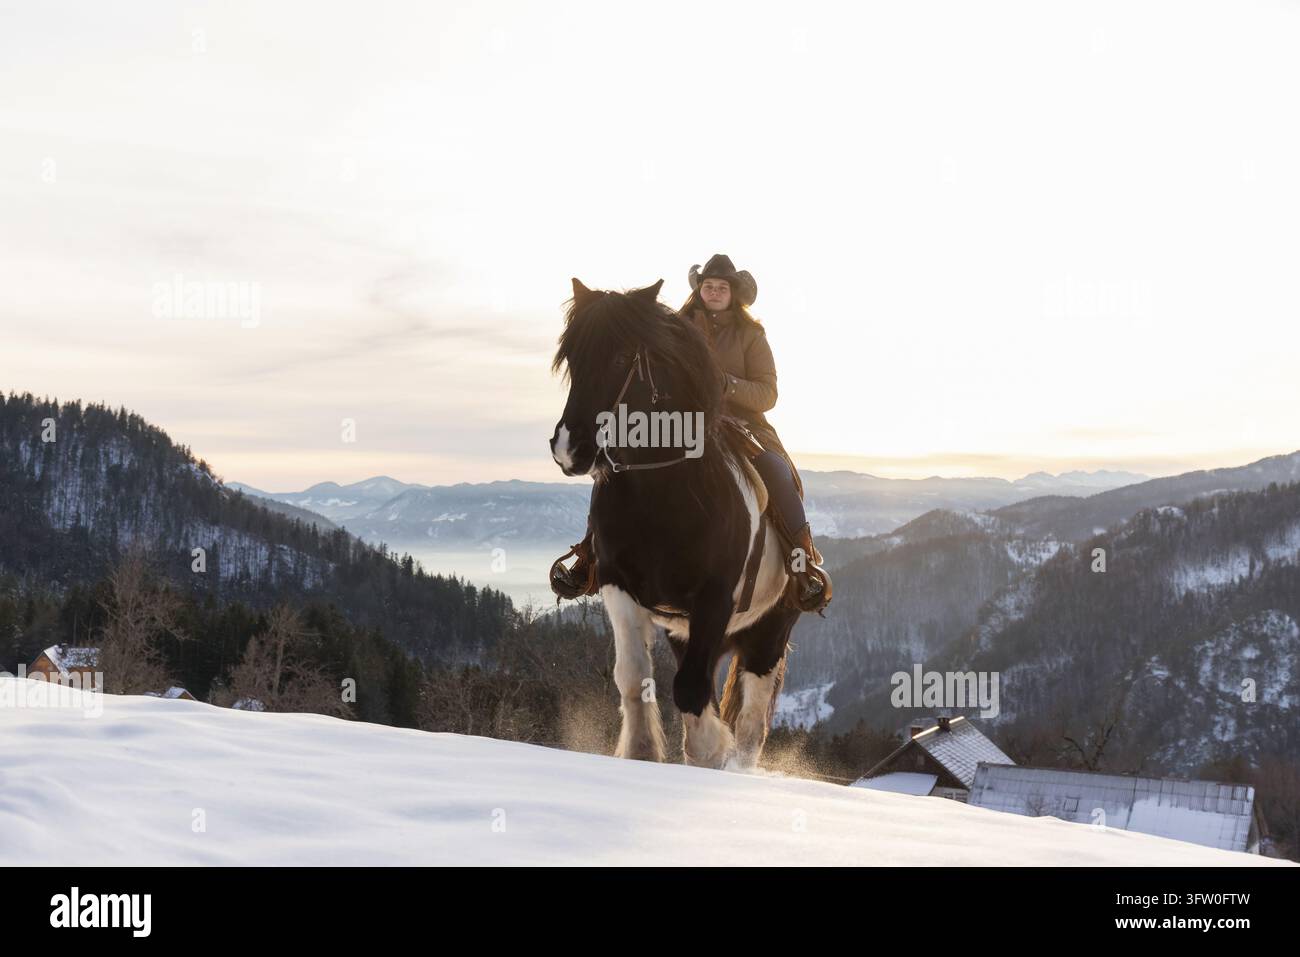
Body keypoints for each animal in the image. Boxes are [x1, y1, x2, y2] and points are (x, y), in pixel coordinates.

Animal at [549, 277, 802, 769]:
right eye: (570, 357)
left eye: (621, 358)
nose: (570, 447)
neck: (662, 495)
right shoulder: (619, 585)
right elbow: (632, 677)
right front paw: (642, 753)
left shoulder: (715, 598)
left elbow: (688, 690)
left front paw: (708, 754)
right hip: (689, 633)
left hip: (768, 633)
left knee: (751, 724)